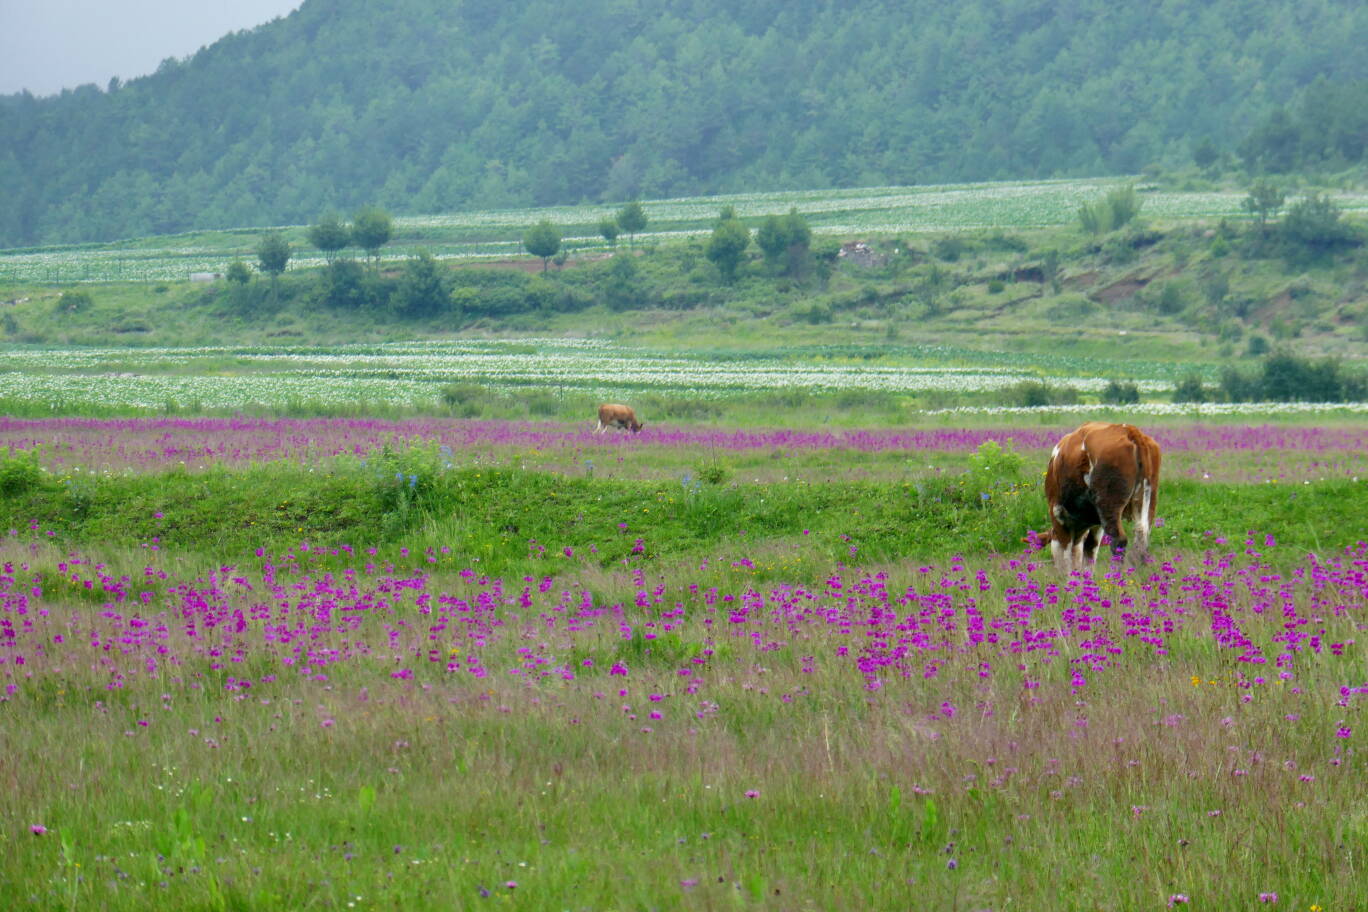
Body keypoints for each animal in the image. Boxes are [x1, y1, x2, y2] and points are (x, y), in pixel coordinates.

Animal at [1039, 423, 1160, 574]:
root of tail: (1128, 429)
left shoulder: (1057, 514)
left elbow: (1065, 558)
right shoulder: (1096, 526)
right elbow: (1089, 555)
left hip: (1108, 505)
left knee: (1119, 541)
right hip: (1147, 500)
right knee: (1141, 539)